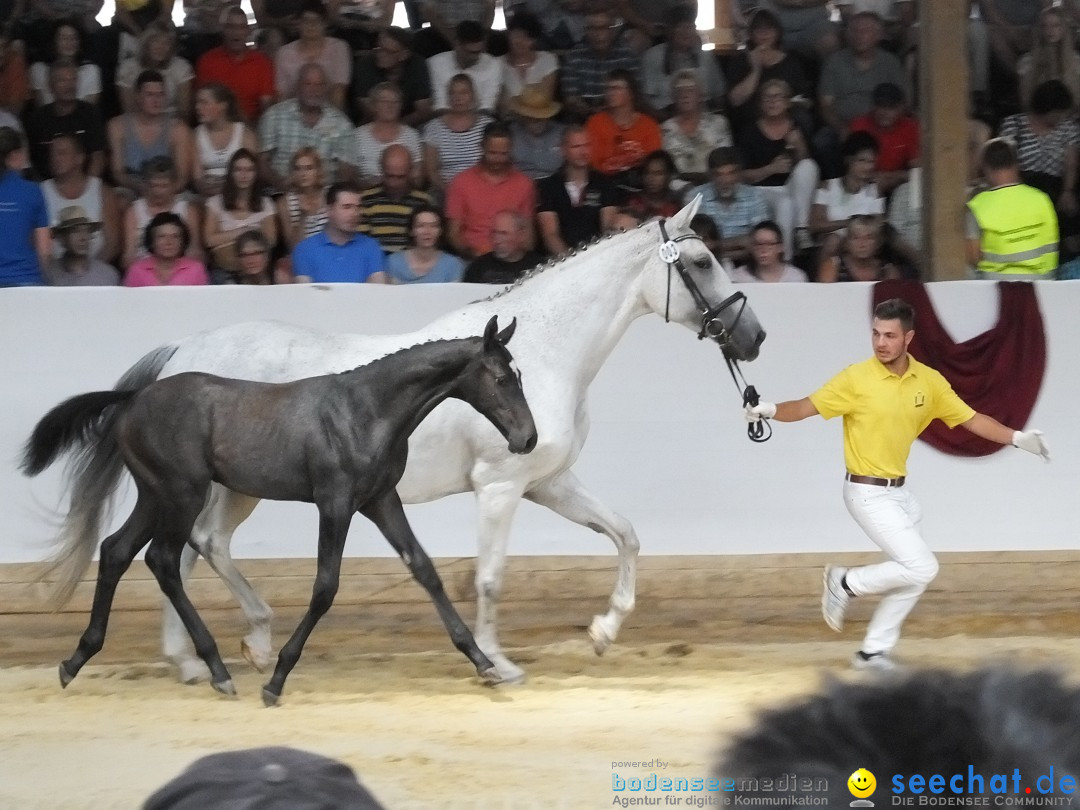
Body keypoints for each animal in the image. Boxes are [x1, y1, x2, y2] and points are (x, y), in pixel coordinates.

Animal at [21, 313, 535, 708]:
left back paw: (76, 660)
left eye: (520, 376)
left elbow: (425, 570)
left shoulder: (380, 499)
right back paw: (216, 669)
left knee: (116, 551)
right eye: (501, 378)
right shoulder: (336, 502)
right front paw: (276, 680)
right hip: (182, 493)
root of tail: (132, 399)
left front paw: (484, 663)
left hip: (155, 494)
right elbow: (325, 587)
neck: (366, 411)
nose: (527, 439)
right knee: (162, 559)